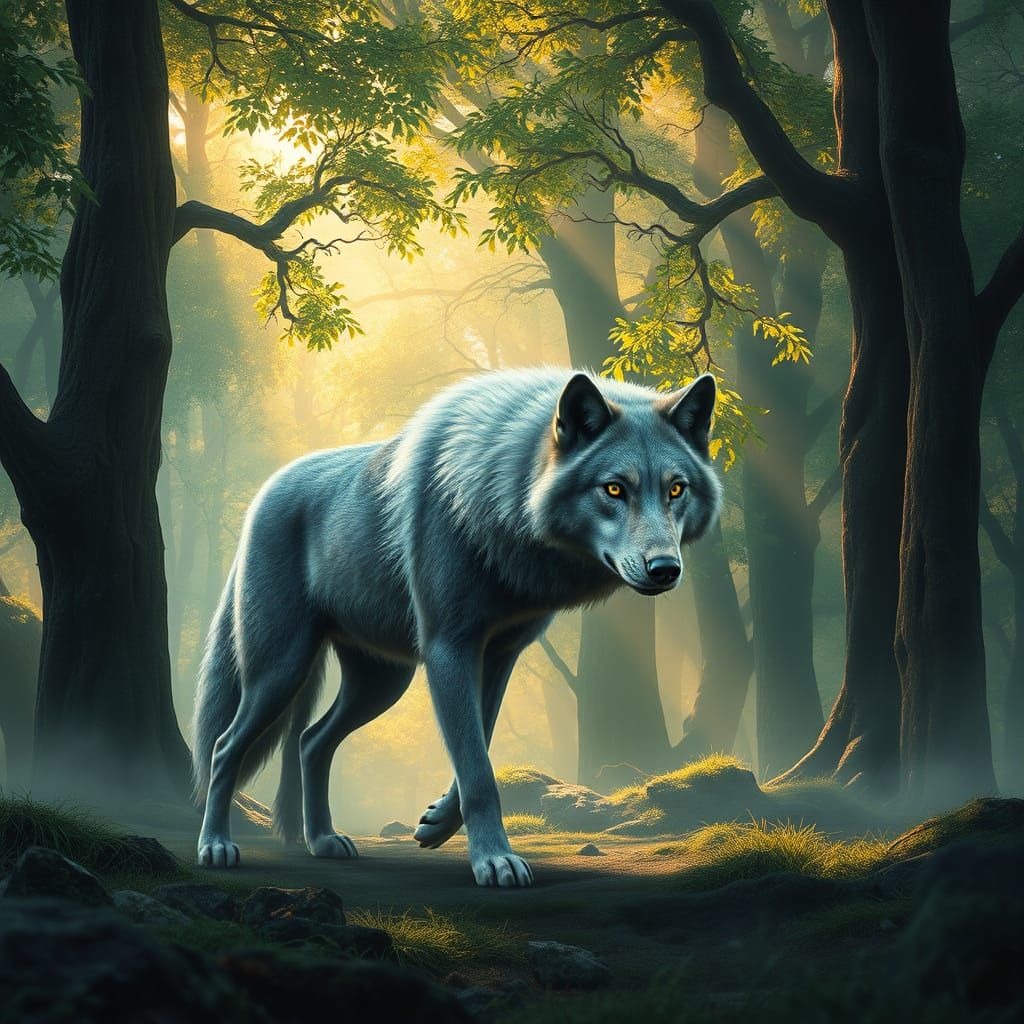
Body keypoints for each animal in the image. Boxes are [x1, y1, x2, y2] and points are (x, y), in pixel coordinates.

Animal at [191, 368, 722, 887]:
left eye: (676, 489)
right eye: (614, 488)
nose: (665, 569)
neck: (497, 503)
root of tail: (262, 494)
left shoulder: (500, 654)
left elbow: (479, 745)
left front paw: (438, 822)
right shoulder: (449, 649)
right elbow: (477, 768)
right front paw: (495, 860)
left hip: (382, 683)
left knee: (309, 741)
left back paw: (323, 840)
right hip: (282, 670)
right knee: (224, 746)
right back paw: (215, 846)